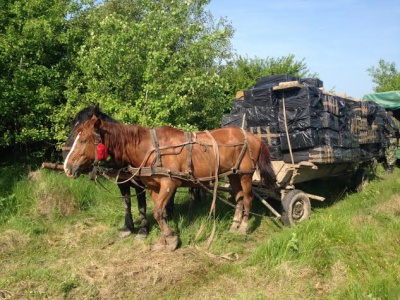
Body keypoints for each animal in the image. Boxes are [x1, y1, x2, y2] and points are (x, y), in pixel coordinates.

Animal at [65, 116, 276, 251]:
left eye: (83, 140)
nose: (67, 167)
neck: (151, 148)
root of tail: (253, 136)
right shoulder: (153, 187)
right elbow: (162, 213)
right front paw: (164, 239)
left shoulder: (169, 183)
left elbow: (158, 212)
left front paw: (172, 239)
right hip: (233, 175)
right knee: (239, 198)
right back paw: (234, 226)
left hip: (245, 175)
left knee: (247, 199)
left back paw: (243, 228)